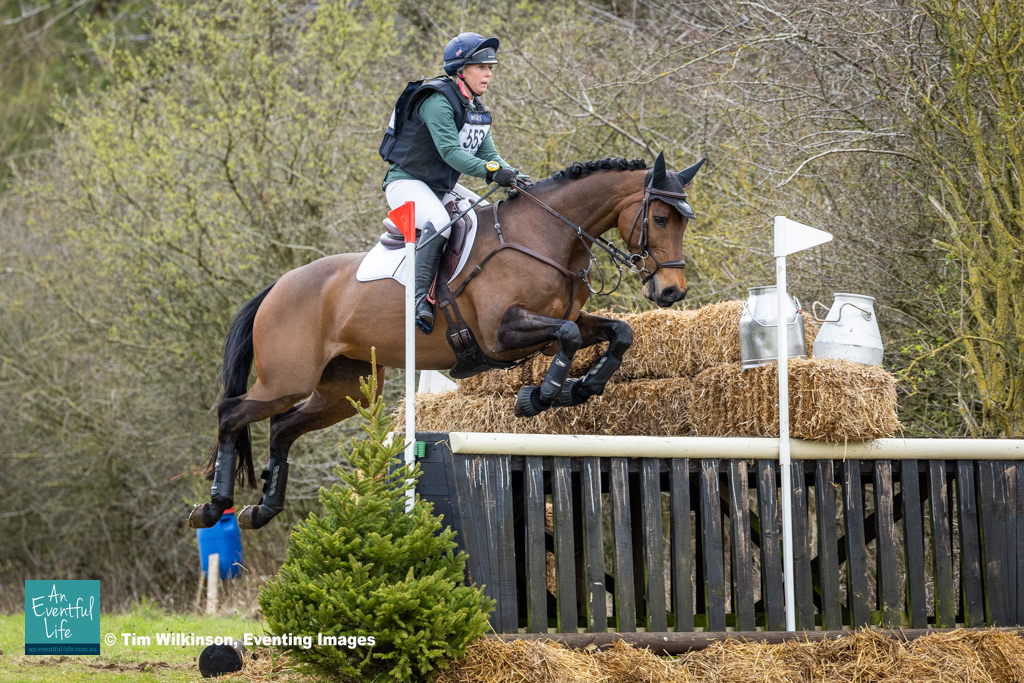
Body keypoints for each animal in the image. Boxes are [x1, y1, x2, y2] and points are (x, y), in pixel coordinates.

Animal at [187, 152, 705, 531]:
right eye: (661, 219)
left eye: (684, 221)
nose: (671, 292)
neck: (547, 236)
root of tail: (277, 287)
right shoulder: (501, 334)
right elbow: (569, 335)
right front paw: (540, 395)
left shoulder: (554, 325)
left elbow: (618, 332)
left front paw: (583, 387)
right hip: (286, 379)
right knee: (231, 413)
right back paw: (212, 507)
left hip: (347, 388)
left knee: (281, 428)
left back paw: (262, 510)